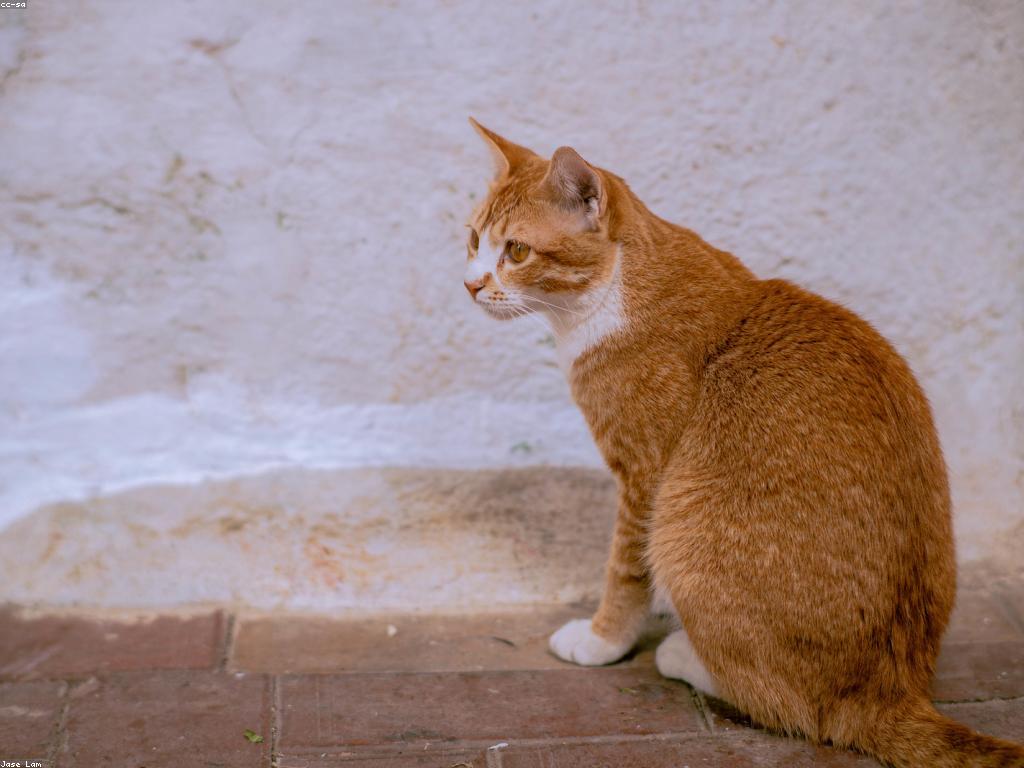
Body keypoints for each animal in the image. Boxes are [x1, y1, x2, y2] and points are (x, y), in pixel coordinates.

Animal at [461, 119, 1024, 767]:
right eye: (472, 239)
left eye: (516, 251)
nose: (470, 284)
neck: (618, 289)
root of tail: (891, 689)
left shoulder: (644, 476)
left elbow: (624, 571)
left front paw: (604, 640)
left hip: (682, 527)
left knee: (795, 707)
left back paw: (684, 654)